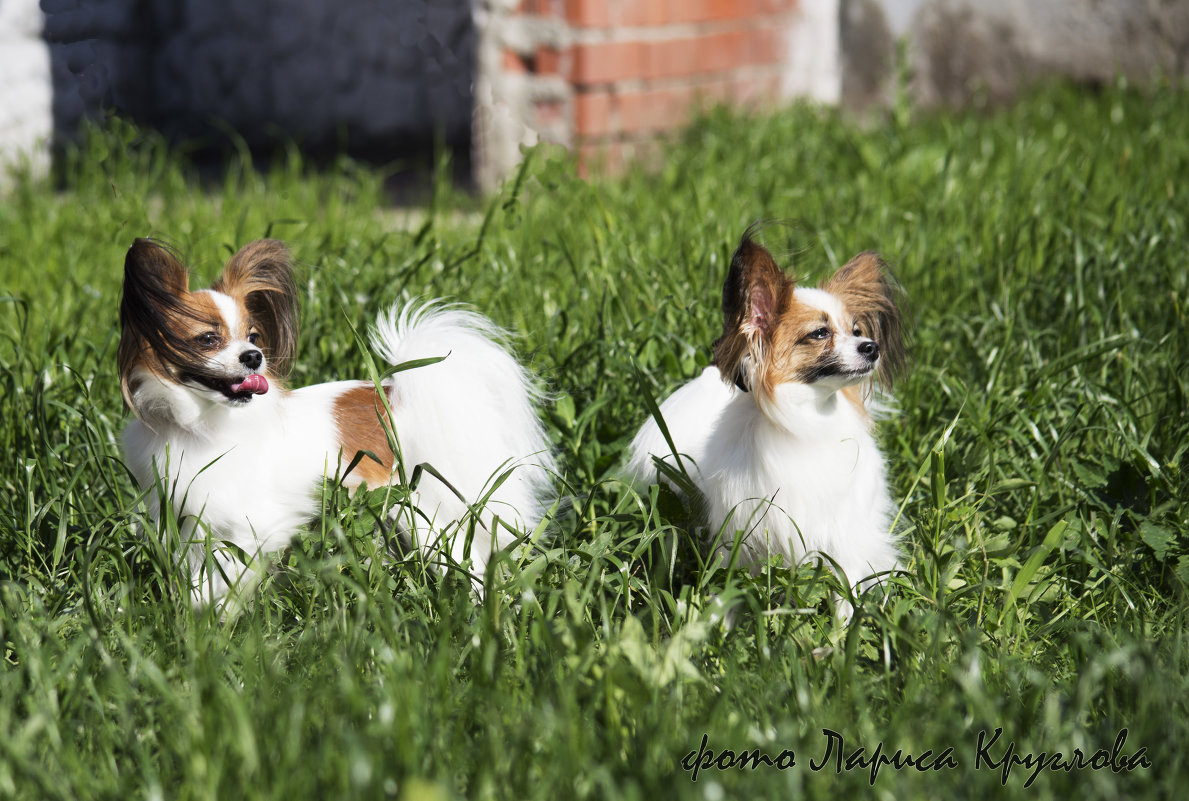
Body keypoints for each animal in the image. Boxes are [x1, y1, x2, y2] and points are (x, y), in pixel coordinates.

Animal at [627, 228, 903, 613]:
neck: (809, 417)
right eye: (820, 333)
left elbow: (845, 591)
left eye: (857, 330)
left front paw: (845, 624)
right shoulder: (742, 534)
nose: (872, 347)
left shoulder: (842, 536)